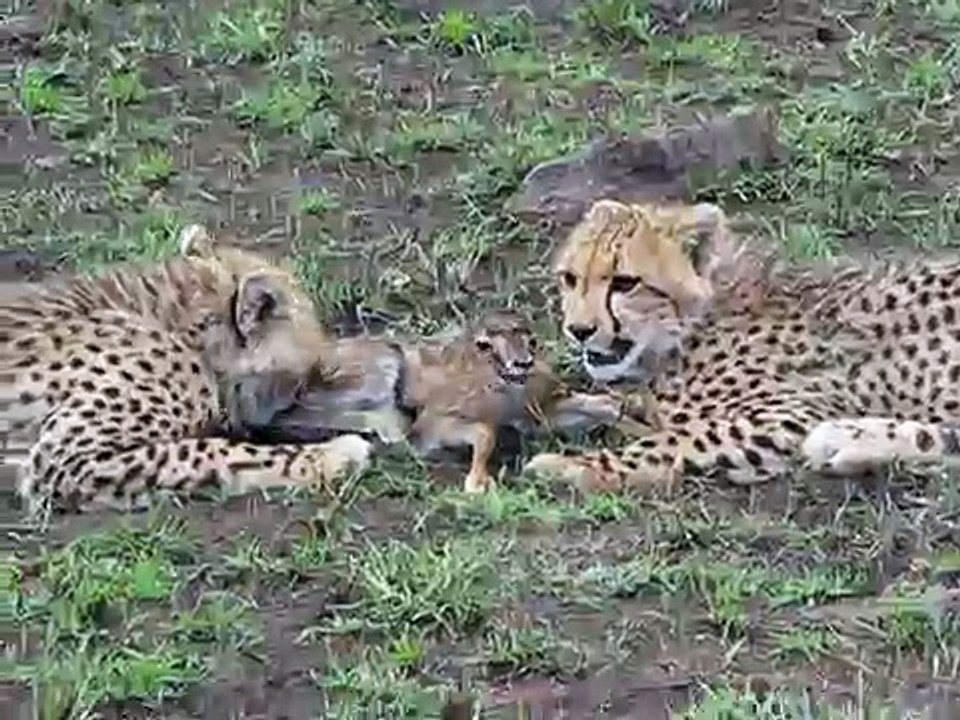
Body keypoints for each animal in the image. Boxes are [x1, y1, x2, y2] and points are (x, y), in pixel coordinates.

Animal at [522, 198, 960, 493]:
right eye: (570, 278)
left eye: (625, 283)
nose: (578, 329)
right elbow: (618, 406)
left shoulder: (789, 413)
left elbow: (677, 438)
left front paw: (569, 465)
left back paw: (843, 440)